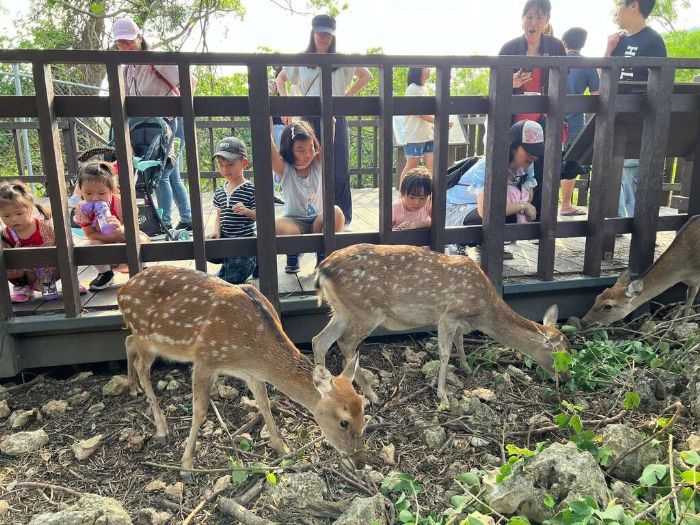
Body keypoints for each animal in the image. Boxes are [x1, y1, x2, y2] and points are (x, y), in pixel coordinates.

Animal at [116, 266, 366, 474]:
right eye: (343, 422)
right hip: (147, 335)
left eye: (363, 411)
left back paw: (133, 388)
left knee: (128, 342)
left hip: (148, 339)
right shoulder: (205, 359)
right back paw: (161, 427)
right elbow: (200, 411)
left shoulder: (252, 374)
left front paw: (283, 449)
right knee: (141, 365)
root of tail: (121, 292)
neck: (252, 351)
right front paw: (186, 465)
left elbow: (265, 403)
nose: (360, 461)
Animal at [314, 244, 568, 404]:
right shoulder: (448, 315)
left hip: (342, 310)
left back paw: (322, 388)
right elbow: (445, 352)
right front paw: (443, 395)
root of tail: (323, 269)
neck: (482, 311)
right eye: (558, 355)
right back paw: (371, 395)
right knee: (345, 343)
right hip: (365, 310)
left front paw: (466, 368)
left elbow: (460, 341)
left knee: (320, 340)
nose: (565, 379)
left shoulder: (456, 321)